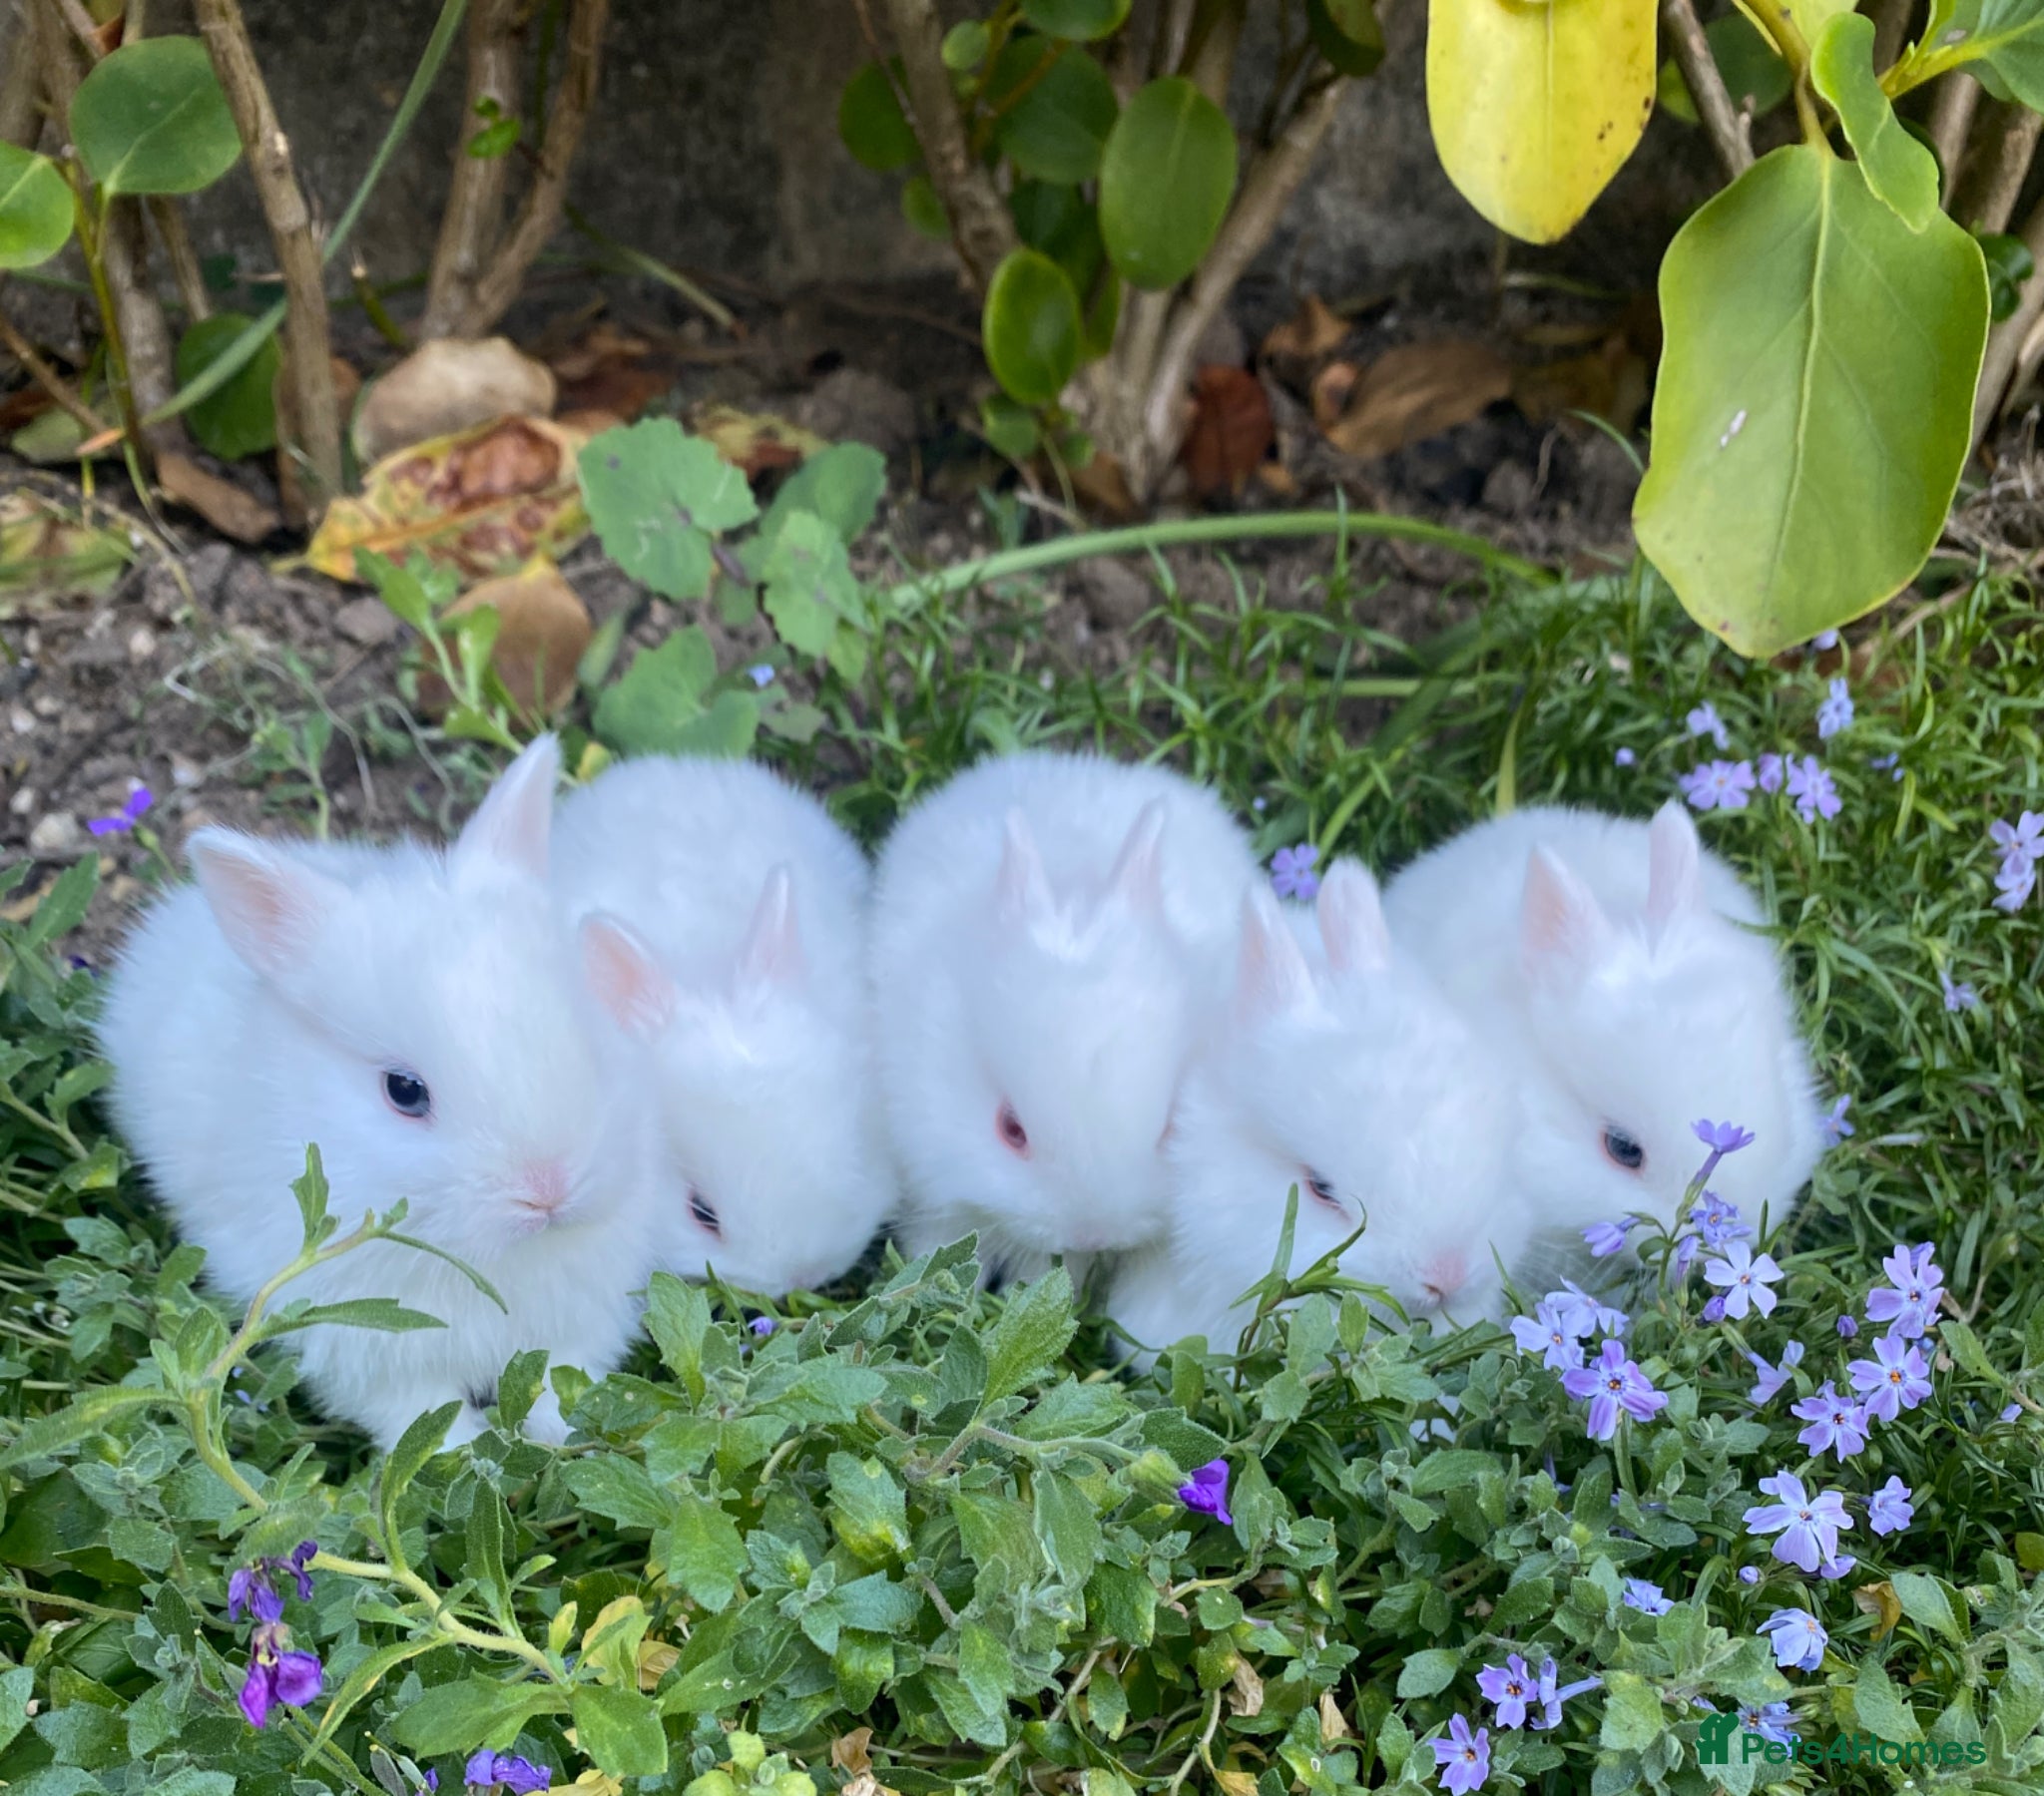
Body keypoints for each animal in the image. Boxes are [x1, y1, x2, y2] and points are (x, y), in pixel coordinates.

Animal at [97, 736, 672, 1451]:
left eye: (588, 1037)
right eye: (404, 1091)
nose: (548, 1190)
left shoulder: (581, 1322)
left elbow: (563, 1385)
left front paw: (564, 1439)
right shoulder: (370, 1356)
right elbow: (429, 1422)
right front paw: (466, 1456)